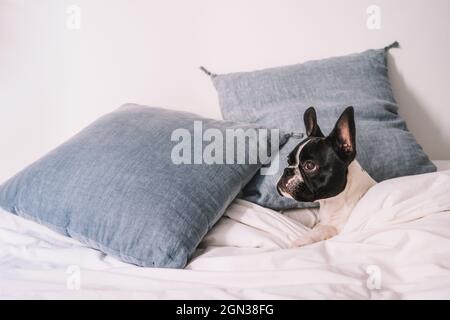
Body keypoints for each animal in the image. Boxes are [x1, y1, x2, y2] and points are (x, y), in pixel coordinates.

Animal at [278, 106, 376, 246]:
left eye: (309, 165)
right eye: (288, 160)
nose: (287, 171)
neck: (332, 202)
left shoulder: (341, 229)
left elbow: (323, 229)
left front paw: (302, 239)